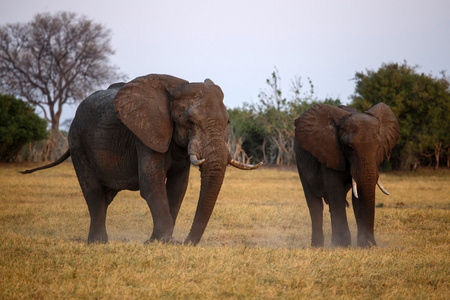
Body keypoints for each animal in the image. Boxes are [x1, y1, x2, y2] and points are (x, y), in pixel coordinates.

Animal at [22, 74, 262, 245]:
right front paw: (158, 242)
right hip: (78, 142)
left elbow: (178, 187)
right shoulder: (145, 135)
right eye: (190, 122)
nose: (186, 243)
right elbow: (151, 185)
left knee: (105, 197)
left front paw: (165, 242)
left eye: (227, 122)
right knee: (92, 190)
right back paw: (99, 243)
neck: (178, 88)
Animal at [294, 102, 400, 247]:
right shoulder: (330, 151)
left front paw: (366, 245)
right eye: (350, 147)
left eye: (379, 146)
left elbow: (358, 195)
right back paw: (317, 246)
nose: (372, 244)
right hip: (300, 164)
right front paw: (342, 245)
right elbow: (335, 190)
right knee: (315, 204)